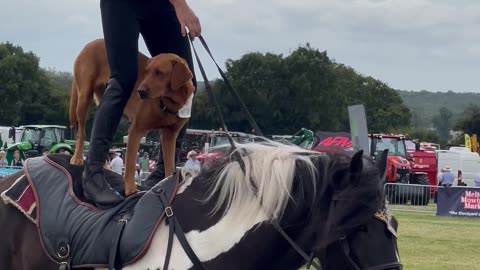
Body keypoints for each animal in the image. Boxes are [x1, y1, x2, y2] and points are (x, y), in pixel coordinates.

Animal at [68, 39, 195, 195]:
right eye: (146, 72)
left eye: (159, 73)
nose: (140, 91)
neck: (169, 103)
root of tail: (90, 43)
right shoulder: (136, 130)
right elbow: (130, 164)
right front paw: (131, 190)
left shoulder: (169, 135)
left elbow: (170, 165)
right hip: (84, 96)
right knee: (81, 132)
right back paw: (78, 158)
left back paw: (104, 166)